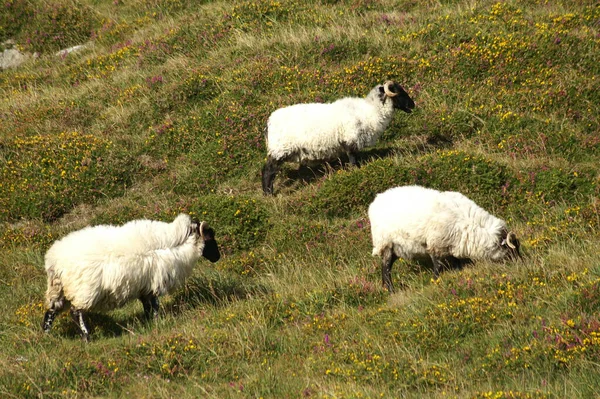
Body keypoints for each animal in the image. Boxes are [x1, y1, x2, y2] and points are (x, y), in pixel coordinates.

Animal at [366, 185, 520, 294]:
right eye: (511, 250)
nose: (521, 263)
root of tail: (375, 202)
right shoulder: (435, 244)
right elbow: (438, 266)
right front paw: (435, 282)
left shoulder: (452, 245)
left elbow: (456, 263)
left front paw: (458, 274)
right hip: (385, 243)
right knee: (386, 269)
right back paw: (391, 290)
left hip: (396, 247)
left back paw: (385, 288)